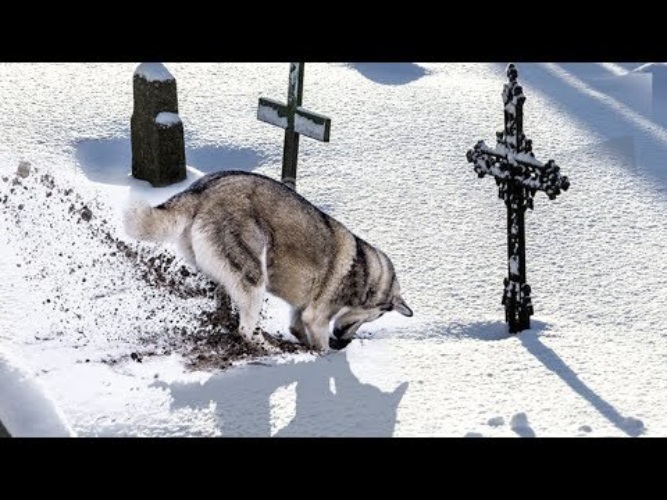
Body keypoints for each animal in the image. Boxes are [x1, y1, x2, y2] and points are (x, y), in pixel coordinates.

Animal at [122, 172, 410, 352]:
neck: (366, 274)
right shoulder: (317, 317)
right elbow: (320, 345)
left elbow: (297, 329)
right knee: (247, 330)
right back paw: (268, 346)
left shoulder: (302, 312)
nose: (344, 342)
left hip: (228, 275)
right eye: (376, 316)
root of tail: (201, 189)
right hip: (253, 277)